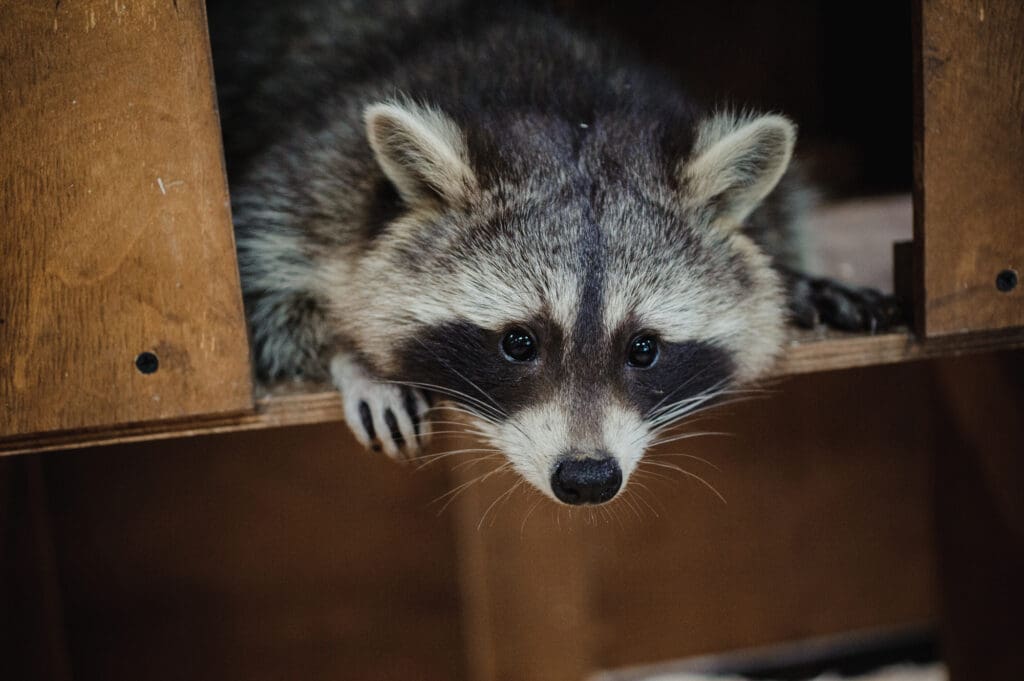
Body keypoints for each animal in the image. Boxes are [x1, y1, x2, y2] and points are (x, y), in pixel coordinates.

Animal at [210, 0, 898, 505]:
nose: (587, 479)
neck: (572, 108)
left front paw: (799, 280)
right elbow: (258, 283)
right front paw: (354, 357)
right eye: (519, 342)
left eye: (643, 348)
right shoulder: (321, 170)